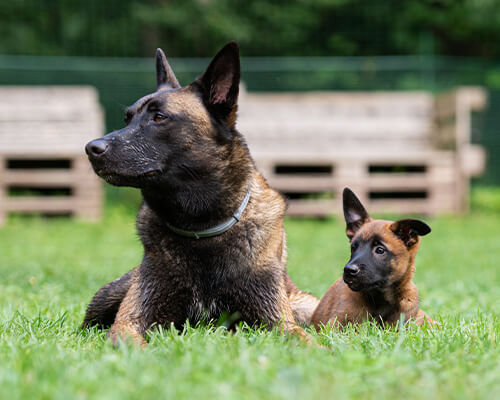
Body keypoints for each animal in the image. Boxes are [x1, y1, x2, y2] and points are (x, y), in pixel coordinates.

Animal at [80, 42, 318, 346]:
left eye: (159, 117)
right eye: (127, 118)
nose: (91, 148)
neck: (200, 227)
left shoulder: (278, 322)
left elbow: (303, 340)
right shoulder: (130, 320)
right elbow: (131, 340)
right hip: (106, 297)